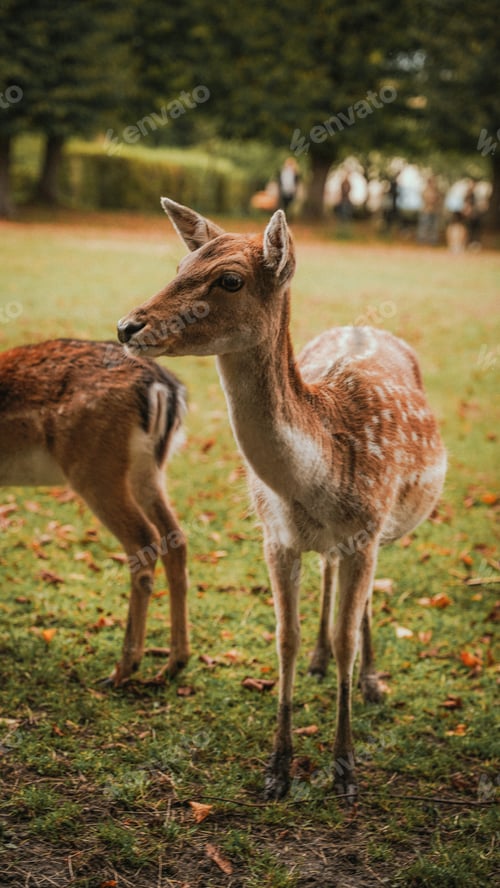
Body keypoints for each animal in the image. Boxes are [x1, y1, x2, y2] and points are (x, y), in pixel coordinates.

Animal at [0, 338, 190, 684]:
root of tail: (163, 387)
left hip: (95, 470)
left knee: (143, 540)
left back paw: (122, 669)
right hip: (149, 470)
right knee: (176, 539)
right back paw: (173, 664)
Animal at [117, 199, 447, 802]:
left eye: (230, 279)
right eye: (181, 263)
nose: (129, 325)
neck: (316, 480)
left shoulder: (367, 532)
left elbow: (347, 634)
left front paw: (345, 769)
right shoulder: (275, 537)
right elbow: (284, 639)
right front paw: (278, 768)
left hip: (385, 530)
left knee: (360, 603)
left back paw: (370, 681)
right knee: (328, 578)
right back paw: (320, 663)